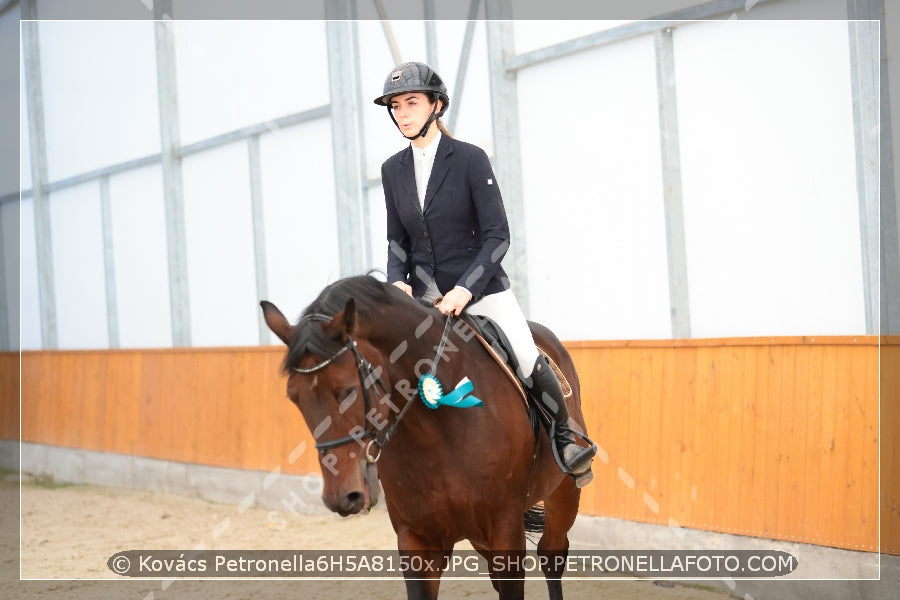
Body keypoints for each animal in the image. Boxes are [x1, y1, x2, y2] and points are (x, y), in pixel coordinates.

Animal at [262, 274, 592, 596]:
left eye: (348, 391)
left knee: (551, 556)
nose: (342, 497)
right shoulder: (417, 541)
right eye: (294, 397)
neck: (436, 431)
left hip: (563, 492)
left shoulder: (505, 531)